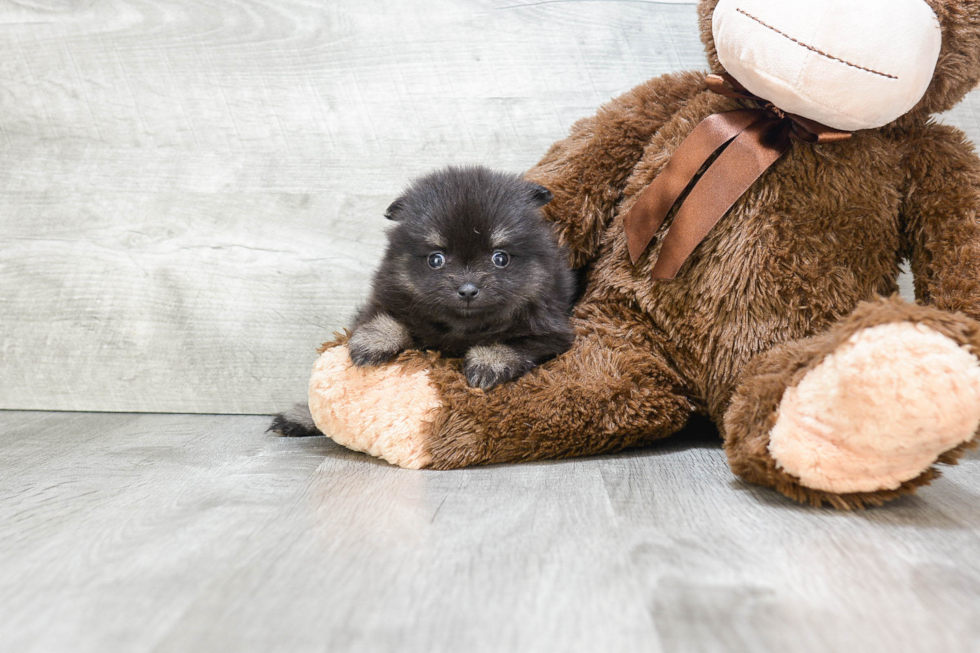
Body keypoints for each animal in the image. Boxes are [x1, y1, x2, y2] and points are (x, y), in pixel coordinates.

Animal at [268, 163, 580, 438]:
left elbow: (512, 343)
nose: (468, 289)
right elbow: (385, 318)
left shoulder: (551, 333)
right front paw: (374, 341)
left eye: (500, 258)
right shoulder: (386, 296)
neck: (461, 328)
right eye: (436, 259)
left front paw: (488, 363)